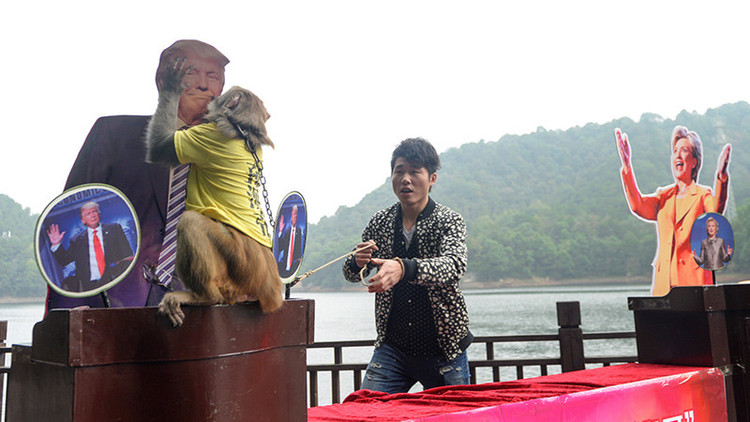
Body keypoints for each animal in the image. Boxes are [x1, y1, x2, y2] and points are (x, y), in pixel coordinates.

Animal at [145, 57, 283, 327]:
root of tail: (271, 287)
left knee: (191, 222)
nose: (212, 96)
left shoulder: (204, 139)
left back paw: (204, 296)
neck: (243, 130)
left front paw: (173, 85)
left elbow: (161, 147)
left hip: (241, 265)